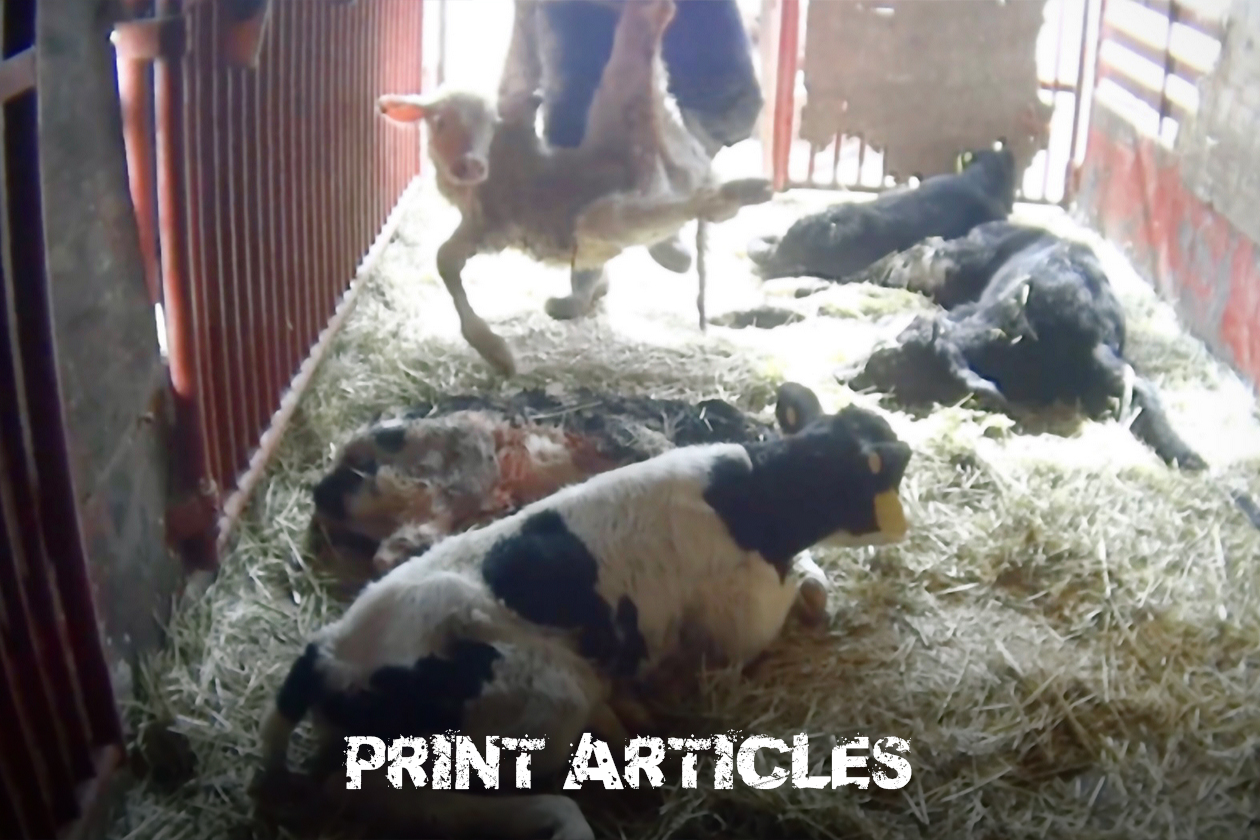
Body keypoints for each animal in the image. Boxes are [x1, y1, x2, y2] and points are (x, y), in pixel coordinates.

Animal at [377, 0, 773, 377]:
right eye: (440, 122)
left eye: (489, 124)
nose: (470, 164)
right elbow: (521, 69)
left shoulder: (492, 222)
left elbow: (445, 259)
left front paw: (496, 352)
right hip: (655, 126)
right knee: (649, 39)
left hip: (611, 206)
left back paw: (748, 190)